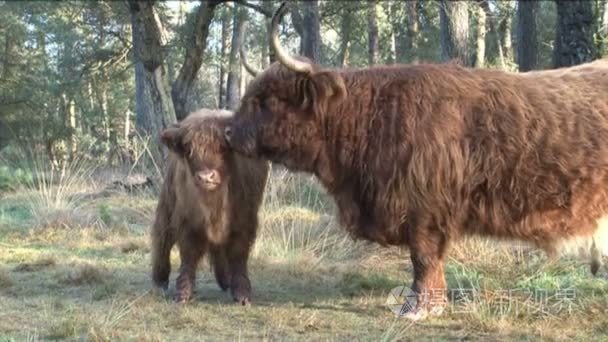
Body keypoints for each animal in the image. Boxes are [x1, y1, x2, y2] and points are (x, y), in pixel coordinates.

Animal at [151, 108, 268, 304]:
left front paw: (242, 294)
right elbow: (188, 255)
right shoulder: (187, 220)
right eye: (189, 150)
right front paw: (183, 293)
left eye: (222, 148)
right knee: (163, 237)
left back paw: (225, 280)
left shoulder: (243, 220)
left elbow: (238, 255)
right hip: (168, 202)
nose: (206, 177)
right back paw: (159, 280)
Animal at [226, 2, 608, 320]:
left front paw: (418, 308)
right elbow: (430, 261)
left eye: (265, 100)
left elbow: (423, 258)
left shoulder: (425, 210)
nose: (229, 132)